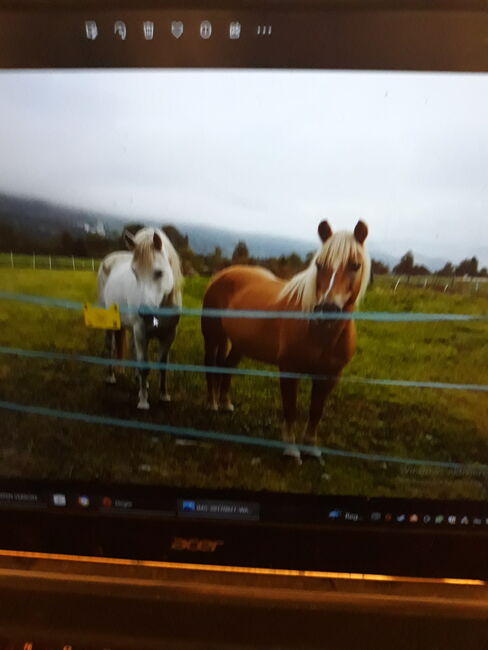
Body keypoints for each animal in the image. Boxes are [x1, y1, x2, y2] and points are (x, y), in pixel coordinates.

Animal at [97, 228, 183, 408]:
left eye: (159, 272)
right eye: (135, 272)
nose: (145, 312)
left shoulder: (169, 335)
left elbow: (162, 365)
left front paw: (164, 395)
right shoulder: (142, 332)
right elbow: (145, 366)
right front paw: (143, 401)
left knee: (132, 350)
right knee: (110, 347)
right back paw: (110, 377)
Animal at [201, 221, 370, 460]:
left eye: (355, 265)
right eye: (319, 264)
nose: (326, 308)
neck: (322, 334)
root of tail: (222, 274)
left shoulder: (329, 376)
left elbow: (316, 411)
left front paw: (311, 447)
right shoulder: (289, 369)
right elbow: (291, 408)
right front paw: (291, 449)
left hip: (239, 345)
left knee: (228, 367)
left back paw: (225, 403)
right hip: (212, 336)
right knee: (210, 365)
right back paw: (213, 403)